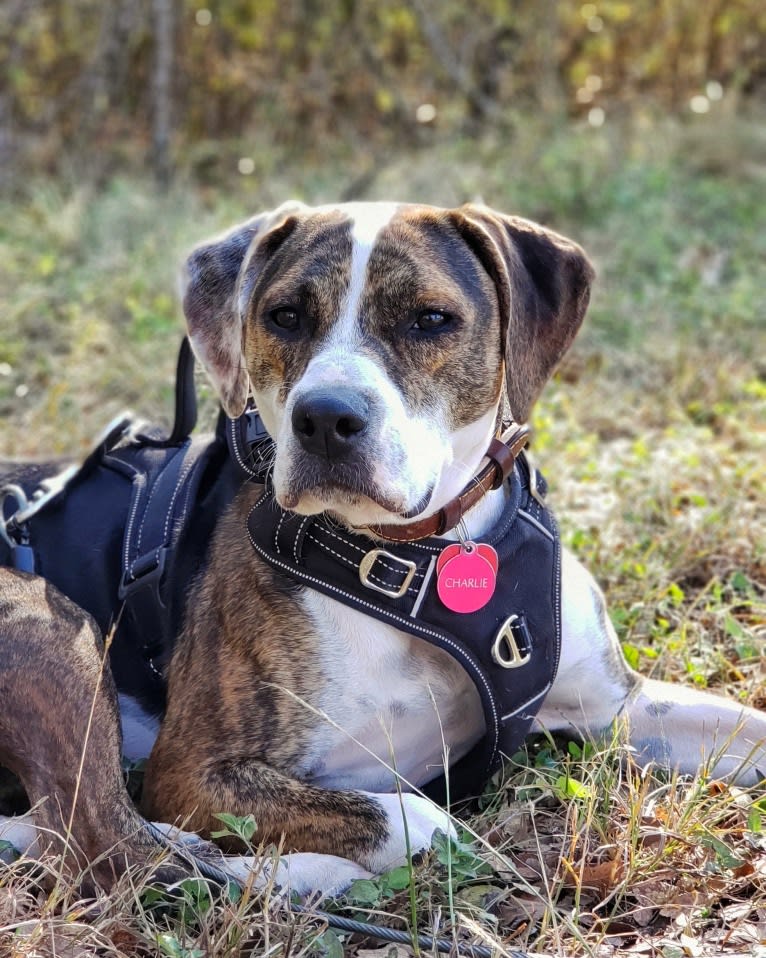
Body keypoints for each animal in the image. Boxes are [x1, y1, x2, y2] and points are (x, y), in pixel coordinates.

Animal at [1, 202, 766, 900]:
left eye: (430, 319)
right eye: (284, 316)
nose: (325, 418)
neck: (425, 552)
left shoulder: (617, 705)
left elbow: (745, 726)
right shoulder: (193, 770)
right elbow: (415, 821)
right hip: (54, 629)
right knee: (105, 845)